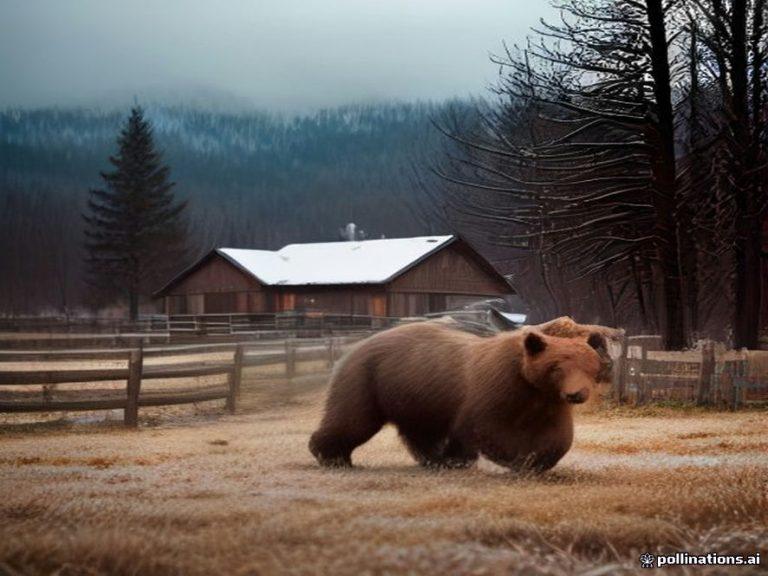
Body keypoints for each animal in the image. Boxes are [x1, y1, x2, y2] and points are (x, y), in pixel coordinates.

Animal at [309, 320, 608, 472]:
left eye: (590, 366)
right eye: (557, 367)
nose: (577, 394)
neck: (527, 385)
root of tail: (352, 348)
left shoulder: (548, 400)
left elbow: (558, 435)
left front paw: (540, 459)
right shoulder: (494, 388)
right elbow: (483, 427)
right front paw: (521, 459)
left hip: (415, 395)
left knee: (421, 432)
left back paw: (435, 459)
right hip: (367, 380)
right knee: (353, 421)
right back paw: (332, 456)